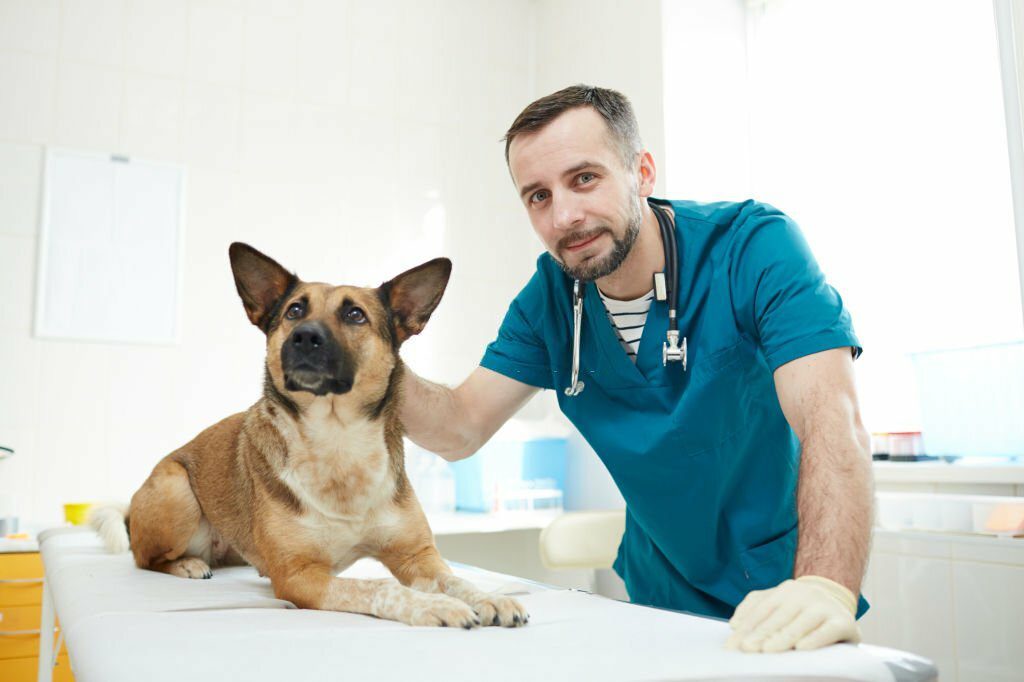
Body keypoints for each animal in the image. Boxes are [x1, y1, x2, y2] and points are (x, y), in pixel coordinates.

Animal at [88, 242, 528, 626]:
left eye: (355, 315)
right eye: (294, 310)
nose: (305, 336)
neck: (338, 441)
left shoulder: (417, 556)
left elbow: (456, 578)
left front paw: (488, 598)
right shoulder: (298, 576)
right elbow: (381, 587)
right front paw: (434, 606)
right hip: (175, 490)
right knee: (145, 558)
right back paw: (186, 563)